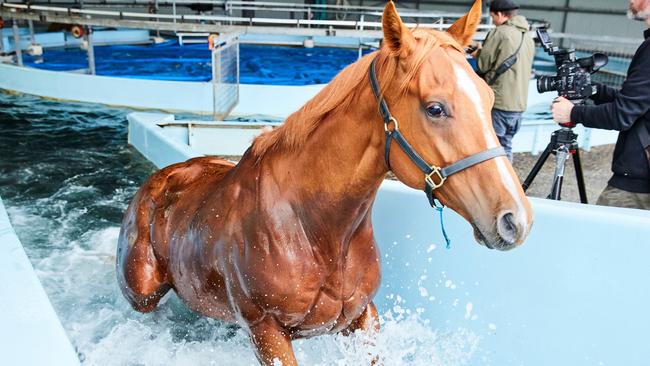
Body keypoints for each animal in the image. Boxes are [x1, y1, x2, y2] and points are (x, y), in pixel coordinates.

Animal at [116, 1, 532, 364]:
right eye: (435, 108)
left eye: (488, 97)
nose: (516, 220)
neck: (314, 227)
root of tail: (162, 179)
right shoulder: (267, 331)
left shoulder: (362, 316)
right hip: (142, 295)